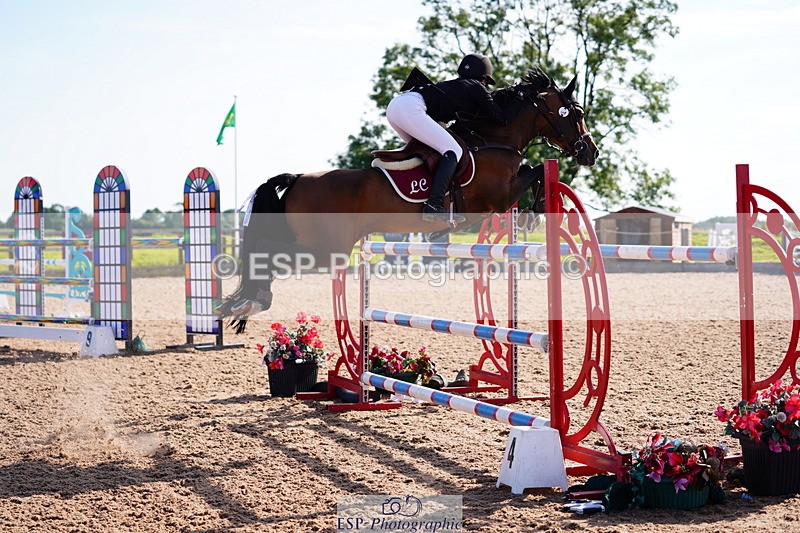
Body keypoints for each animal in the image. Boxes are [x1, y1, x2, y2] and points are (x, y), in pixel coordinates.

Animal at [217, 67, 599, 332]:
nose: (590, 152)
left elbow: (535, 171)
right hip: (327, 248)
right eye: (577, 114)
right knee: (269, 251)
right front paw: (536, 211)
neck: (494, 139)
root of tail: (296, 179)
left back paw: (246, 302)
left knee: (265, 248)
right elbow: (537, 171)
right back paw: (254, 302)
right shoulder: (499, 198)